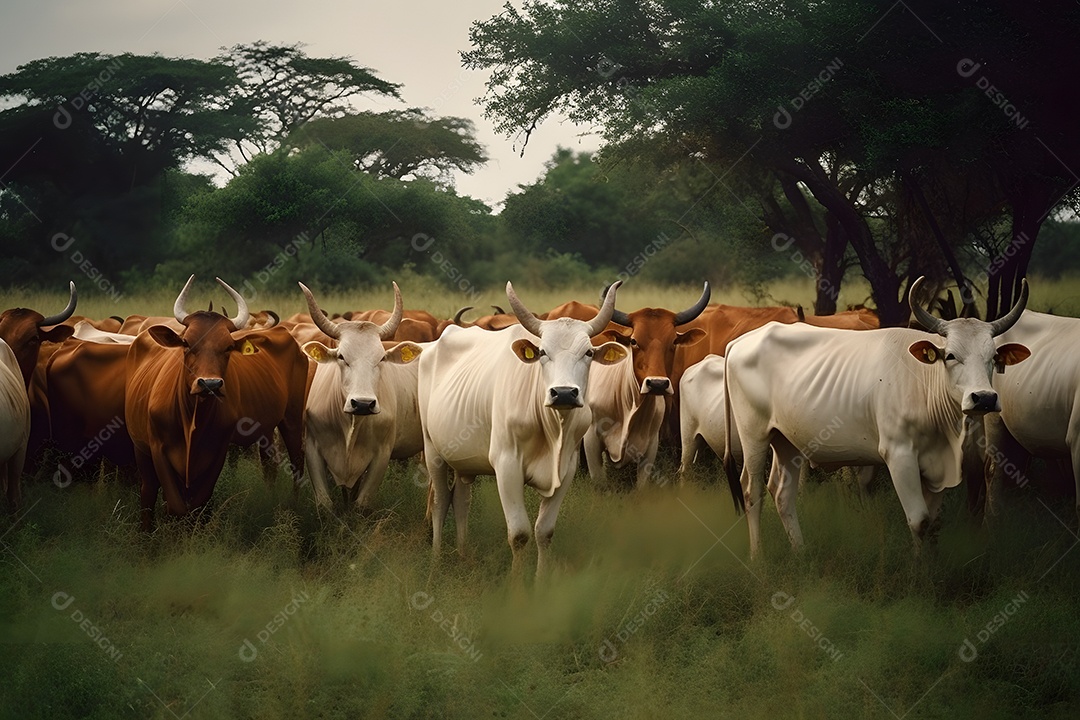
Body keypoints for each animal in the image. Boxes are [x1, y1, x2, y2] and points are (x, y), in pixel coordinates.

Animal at [129, 278, 313, 533]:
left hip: (292, 418)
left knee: (296, 462)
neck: (192, 417)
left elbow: (197, 501)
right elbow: (175, 503)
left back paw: (293, 508)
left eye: (227, 347)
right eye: (186, 343)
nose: (210, 384)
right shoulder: (158, 448)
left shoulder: (217, 450)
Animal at [725, 278, 1028, 561]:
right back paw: (757, 557)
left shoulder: (937, 464)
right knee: (752, 492)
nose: (984, 398)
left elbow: (933, 523)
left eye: (994, 357)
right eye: (951, 355)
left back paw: (800, 552)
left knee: (782, 493)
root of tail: (740, 341)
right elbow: (919, 521)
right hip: (754, 435)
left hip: (786, 440)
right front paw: (918, 572)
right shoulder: (899, 455)